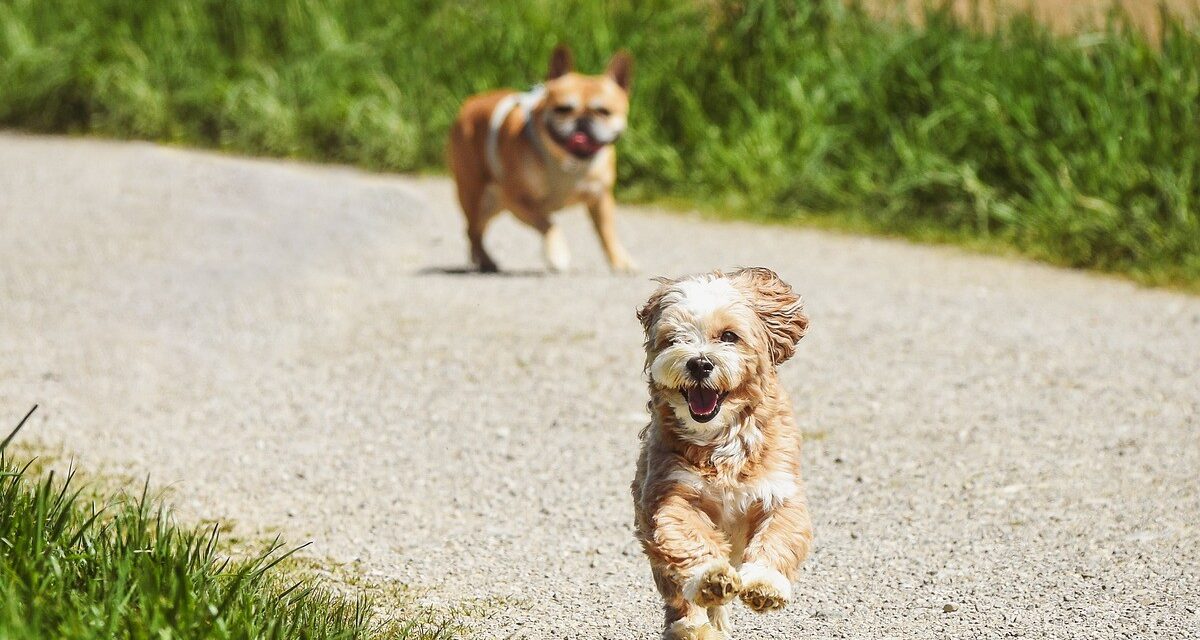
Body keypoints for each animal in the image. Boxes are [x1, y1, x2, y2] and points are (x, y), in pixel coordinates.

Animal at [451, 45, 638, 272]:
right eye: (563, 109)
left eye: (604, 111)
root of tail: (470, 103)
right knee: (473, 230)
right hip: (477, 198)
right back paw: (485, 260)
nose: (582, 122)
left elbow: (607, 232)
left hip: (493, 205)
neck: (569, 164)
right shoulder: (517, 200)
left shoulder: (600, 199)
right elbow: (548, 223)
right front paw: (558, 254)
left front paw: (620, 260)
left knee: (475, 230)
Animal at [633, 267, 811, 638]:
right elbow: (688, 537)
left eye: (729, 336)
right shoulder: (670, 494)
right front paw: (710, 578)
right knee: (680, 600)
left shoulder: (781, 491)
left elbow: (780, 536)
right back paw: (693, 626)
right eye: (675, 339)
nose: (699, 363)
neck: (721, 437)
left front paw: (766, 584)